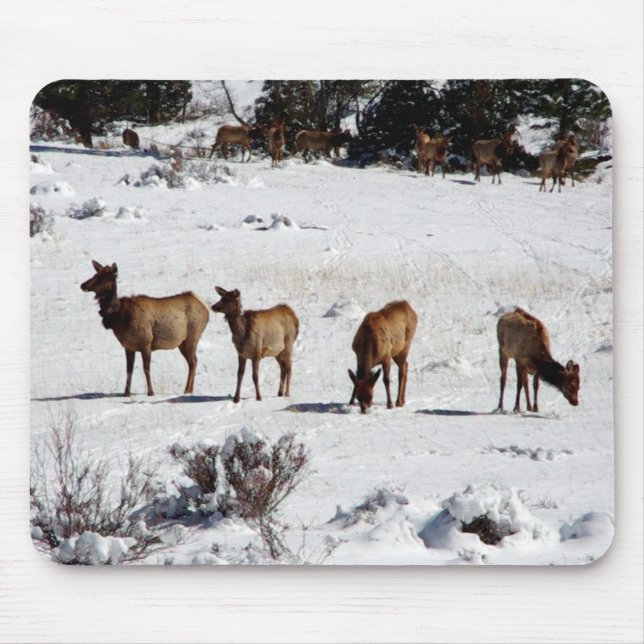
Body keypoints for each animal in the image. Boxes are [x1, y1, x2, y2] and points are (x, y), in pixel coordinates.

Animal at [80, 261, 209, 396]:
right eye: (96, 274)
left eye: (102, 277)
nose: (83, 285)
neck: (120, 317)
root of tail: (204, 306)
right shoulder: (128, 346)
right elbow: (129, 370)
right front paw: (126, 393)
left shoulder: (146, 343)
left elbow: (146, 368)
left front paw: (151, 392)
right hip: (182, 343)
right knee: (193, 361)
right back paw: (189, 390)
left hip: (193, 336)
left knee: (193, 361)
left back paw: (187, 391)